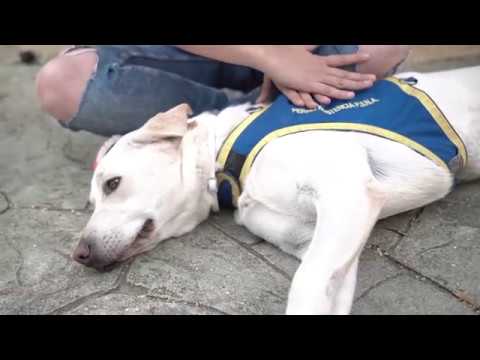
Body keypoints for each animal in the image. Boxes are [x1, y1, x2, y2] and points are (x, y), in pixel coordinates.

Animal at [71, 65, 480, 316]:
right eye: (91, 202)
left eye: (112, 184)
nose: (79, 255)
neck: (224, 156)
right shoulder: (317, 235)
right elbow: (326, 287)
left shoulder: (347, 190)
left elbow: (306, 286)